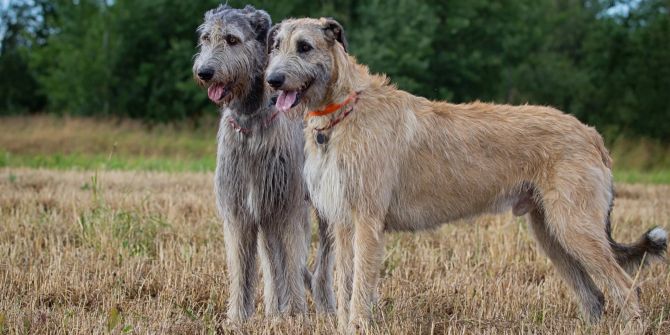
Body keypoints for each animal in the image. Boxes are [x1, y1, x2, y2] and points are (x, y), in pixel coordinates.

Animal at [192, 4, 336, 320]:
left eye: (232, 39)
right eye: (206, 38)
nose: (204, 72)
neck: (250, 123)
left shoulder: (287, 207)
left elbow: (292, 260)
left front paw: (295, 315)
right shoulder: (240, 210)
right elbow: (242, 267)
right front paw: (237, 318)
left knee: (322, 261)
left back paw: (325, 305)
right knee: (272, 261)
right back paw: (273, 309)